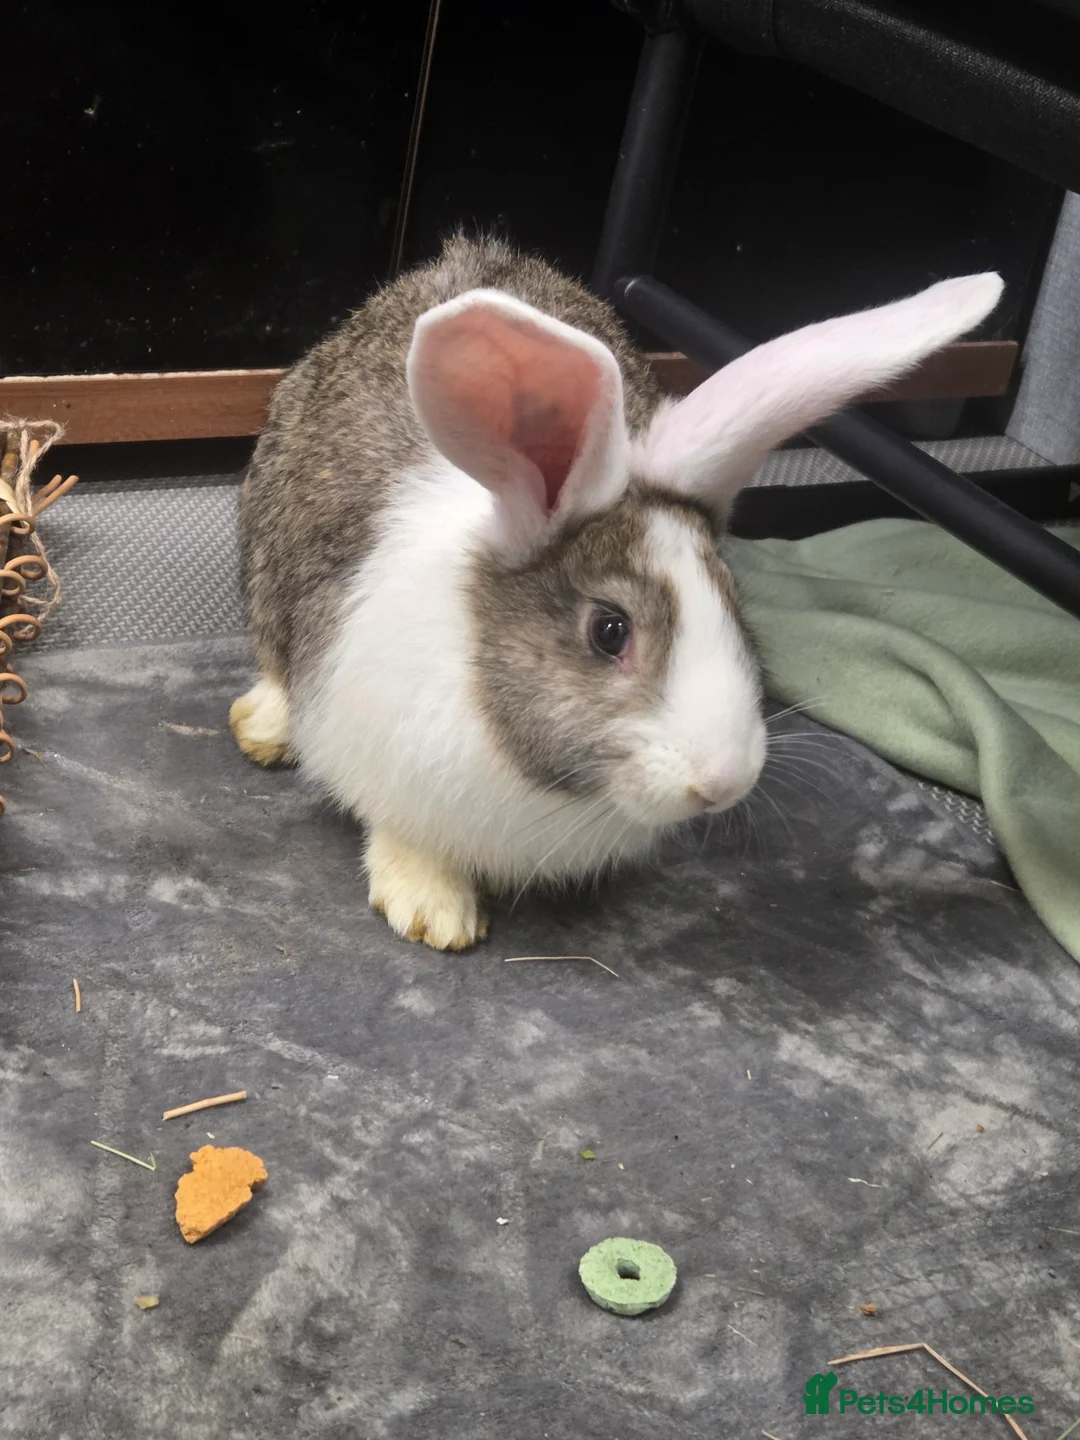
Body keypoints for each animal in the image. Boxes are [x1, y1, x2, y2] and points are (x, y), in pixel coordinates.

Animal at [233, 233, 1002, 950]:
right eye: (610, 631)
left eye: (733, 605)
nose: (723, 783)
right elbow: (404, 833)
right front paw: (434, 913)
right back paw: (264, 727)